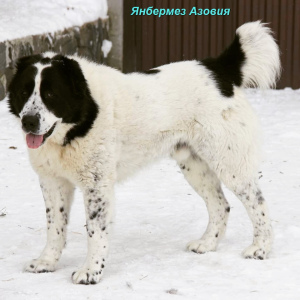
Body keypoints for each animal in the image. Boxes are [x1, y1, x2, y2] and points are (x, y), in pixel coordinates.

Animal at [6, 20, 282, 284]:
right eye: (24, 92)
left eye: (51, 94)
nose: (29, 121)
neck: (78, 119)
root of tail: (218, 68)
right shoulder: (53, 182)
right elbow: (54, 226)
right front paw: (47, 262)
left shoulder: (97, 187)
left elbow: (95, 231)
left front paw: (91, 271)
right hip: (195, 166)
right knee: (220, 205)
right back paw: (207, 243)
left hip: (229, 162)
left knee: (258, 202)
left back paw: (260, 248)